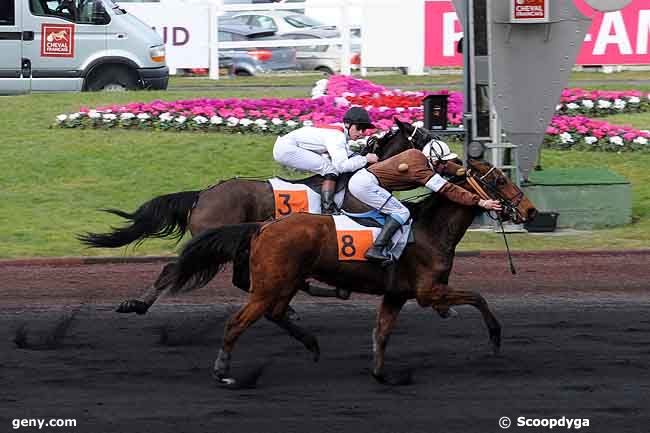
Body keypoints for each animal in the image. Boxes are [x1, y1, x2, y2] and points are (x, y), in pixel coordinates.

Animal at [79, 119, 436, 314]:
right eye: (423, 137)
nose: (443, 152)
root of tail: (202, 194)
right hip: (217, 240)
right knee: (175, 268)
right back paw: (137, 304)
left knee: (238, 279)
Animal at [168, 159, 536, 384]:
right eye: (499, 179)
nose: (531, 211)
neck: (430, 230)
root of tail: (262, 226)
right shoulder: (427, 292)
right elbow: (478, 297)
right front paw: (495, 338)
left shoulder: (397, 294)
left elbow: (381, 333)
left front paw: (381, 374)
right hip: (269, 286)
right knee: (238, 322)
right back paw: (223, 371)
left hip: (283, 283)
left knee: (276, 312)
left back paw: (312, 343)